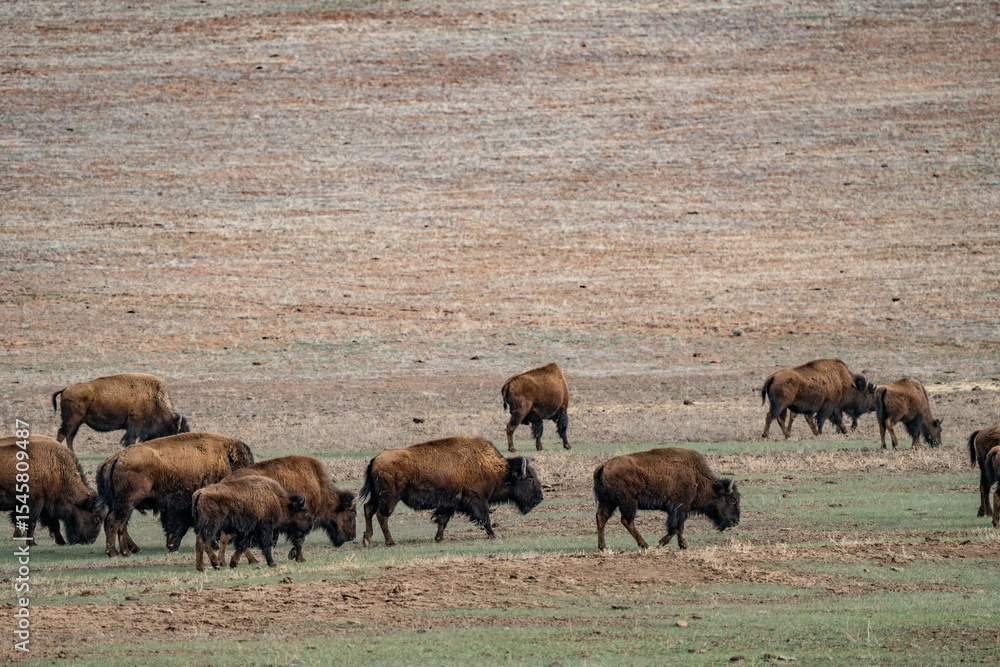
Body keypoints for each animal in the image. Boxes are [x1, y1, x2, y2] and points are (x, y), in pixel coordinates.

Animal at [52, 373, 189, 451]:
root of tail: (65, 389)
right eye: (177, 433)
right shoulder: (135, 423)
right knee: (62, 433)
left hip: (77, 423)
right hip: (72, 420)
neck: (153, 398)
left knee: (69, 436)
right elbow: (130, 440)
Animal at [96, 432, 254, 557]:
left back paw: (127, 551)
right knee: (114, 521)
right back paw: (115, 553)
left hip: (122, 504)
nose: (249, 542)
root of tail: (115, 458)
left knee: (119, 523)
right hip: (127, 502)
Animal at [360, 436, 543, 546]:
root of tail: (375, 459)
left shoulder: (449, 504)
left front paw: (438, 538)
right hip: (390, 497)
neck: (495, 468)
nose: (540, 497)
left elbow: (443, 520)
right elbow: (485, 519)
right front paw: (493, 535)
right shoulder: (477, 500)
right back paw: (391, 542)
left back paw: (367, 539)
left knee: (368, 509)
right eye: (529, 479)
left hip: (377, 496)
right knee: (382, 515)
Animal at [594, 447, 740, 551]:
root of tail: (604, 466)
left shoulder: (682, 509)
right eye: (733, 500)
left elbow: (680, 527)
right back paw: (646, 545)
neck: (696, 477)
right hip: (628, 503)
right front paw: (660, 544)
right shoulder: (679, 508)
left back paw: (603, 547)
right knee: (627, 521)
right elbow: (675, 527)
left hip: (608, 502)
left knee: (601, 517)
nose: (736, 522)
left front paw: (684, 545)